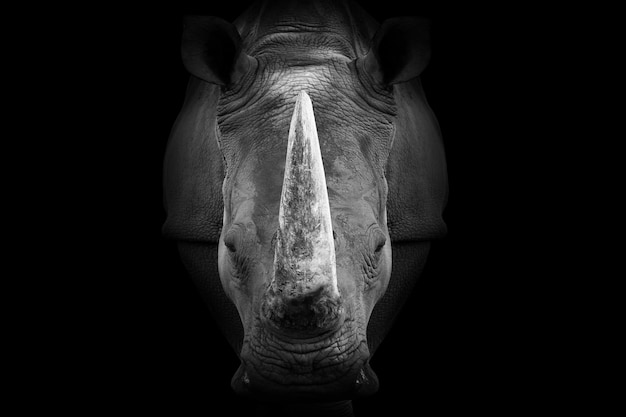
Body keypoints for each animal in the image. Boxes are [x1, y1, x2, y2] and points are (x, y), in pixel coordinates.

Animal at [161, 0, 444, 410]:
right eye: (230, 246)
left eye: (379, 246)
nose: (303, 373)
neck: (303, 47)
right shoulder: (190, 229)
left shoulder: (417, 228)